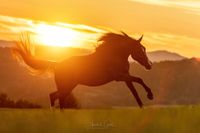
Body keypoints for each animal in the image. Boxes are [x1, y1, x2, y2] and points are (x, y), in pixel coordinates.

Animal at [12, 31, 153, 108]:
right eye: (140, 49)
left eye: (144, 48)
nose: (149, 65)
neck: (114, 55)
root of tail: (57, 64)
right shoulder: (119, 77)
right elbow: (139, 79)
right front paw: (150, 95)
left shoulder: (125, 77)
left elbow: (135, 93)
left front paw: (143, 107)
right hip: (67, 85)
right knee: (58, 97)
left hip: (69, 86)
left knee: (54, 96)